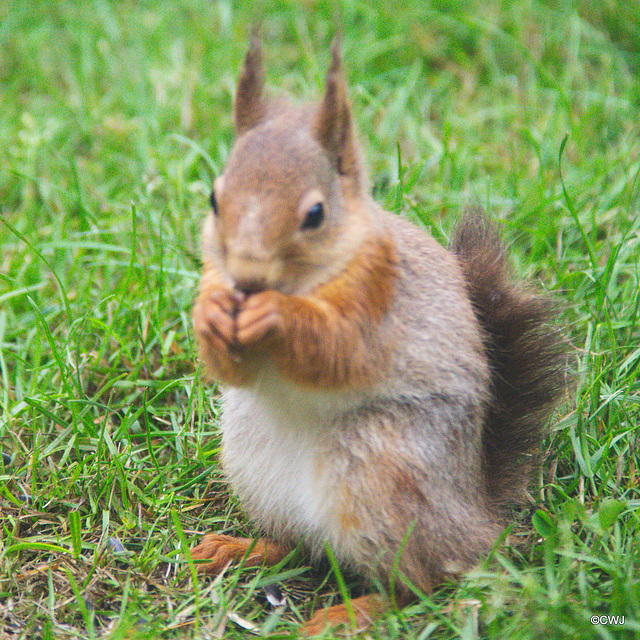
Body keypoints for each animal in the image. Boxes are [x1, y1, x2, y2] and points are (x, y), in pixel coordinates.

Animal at [190, 36, 568, 636]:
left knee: (420, 584)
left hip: (381, 469)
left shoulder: (376, 296)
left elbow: (337, 352)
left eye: (316, 214)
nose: (247, 278)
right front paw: (209, 311)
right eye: (213, 198)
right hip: (254, 463)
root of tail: (477, 521)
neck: (305, 280)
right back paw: (243, 549)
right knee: (303, 547)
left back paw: (351, 611)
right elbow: (233, 366)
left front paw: (276, 315)